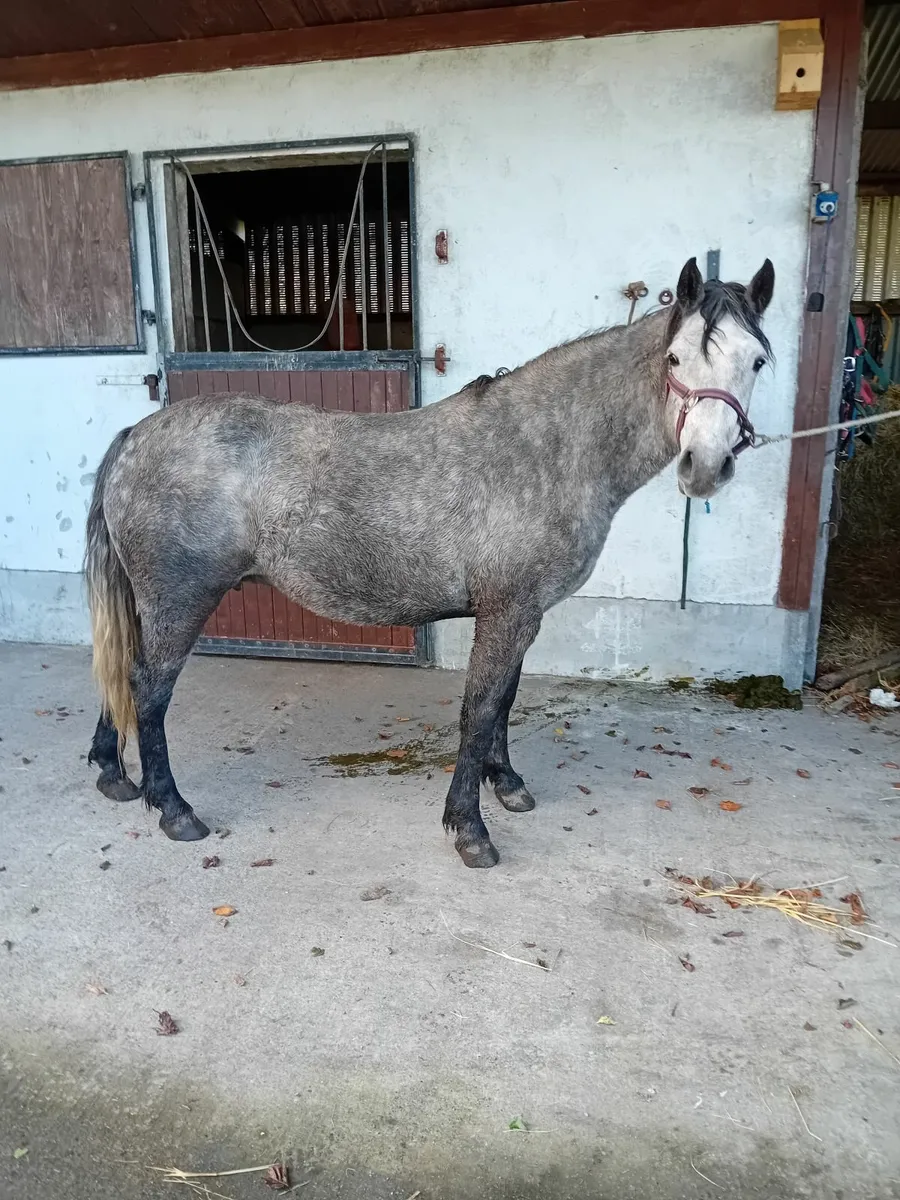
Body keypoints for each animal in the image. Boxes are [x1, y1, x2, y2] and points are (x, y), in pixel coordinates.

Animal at [85, 256, 774, 868]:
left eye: (757, 361)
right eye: (676, 359)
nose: (706, 467)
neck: (545, 449)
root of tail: (135, 435)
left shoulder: (520, 614)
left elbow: (503, 703)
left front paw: (508, 785)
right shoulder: (508, 612)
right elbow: (480, 710)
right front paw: (470, 830)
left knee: (123, 675)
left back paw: (114, 776)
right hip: (179, 601)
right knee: (148, 689)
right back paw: (174, 810)